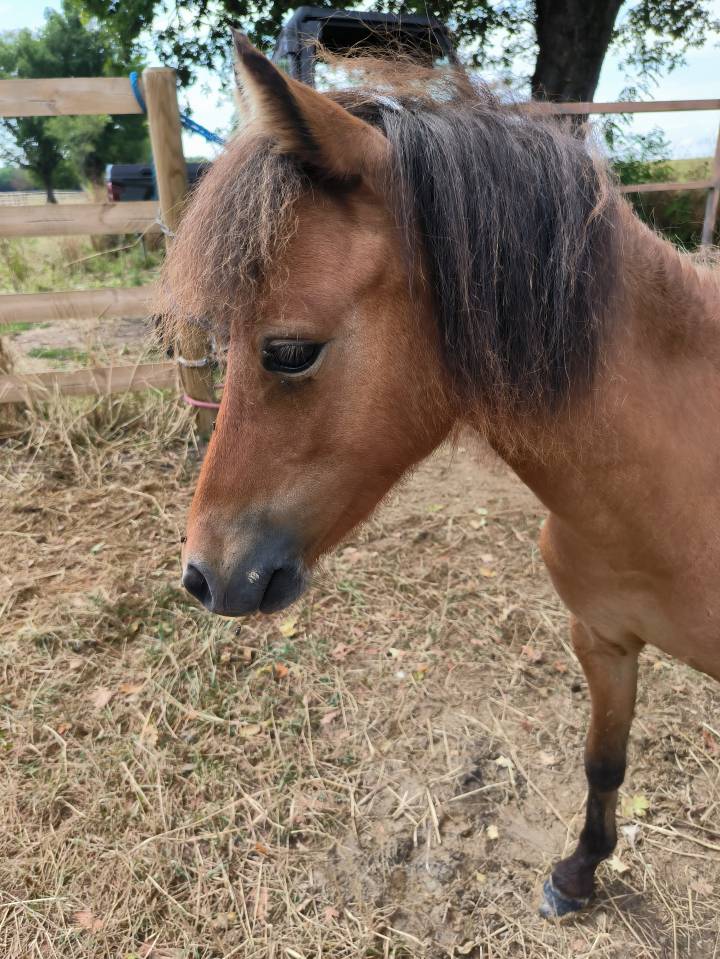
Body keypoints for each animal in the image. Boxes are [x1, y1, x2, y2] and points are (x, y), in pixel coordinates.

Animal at [159, 31, 720, 919]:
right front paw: (577, 873)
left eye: (290, 350)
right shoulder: (601, 639)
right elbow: (603, 761)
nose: (204, 574)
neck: (669, 491)